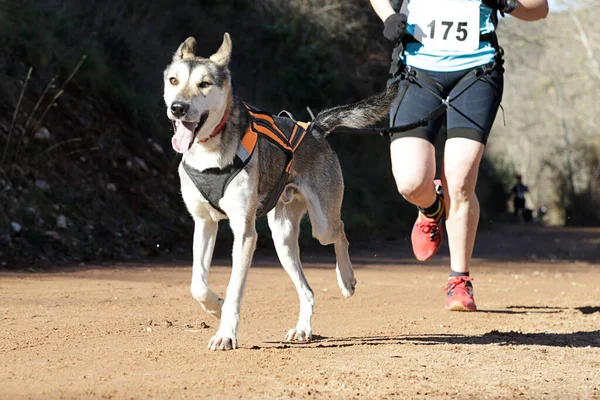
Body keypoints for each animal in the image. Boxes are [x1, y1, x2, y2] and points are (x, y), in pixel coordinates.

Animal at [164, 32, 398, 350]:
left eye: (205, 84)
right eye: (173, 80)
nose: (177, 107)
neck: (209, 154)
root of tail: (313, 128)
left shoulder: (245, 233)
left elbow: (235, 289)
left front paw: (226, 333)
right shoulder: (204, 223)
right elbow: (197, 285)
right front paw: (215, 306)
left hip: (321, 225)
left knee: (340, 231)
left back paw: (346, 279)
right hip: (282, 238)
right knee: (308, 290)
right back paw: (303, 329)